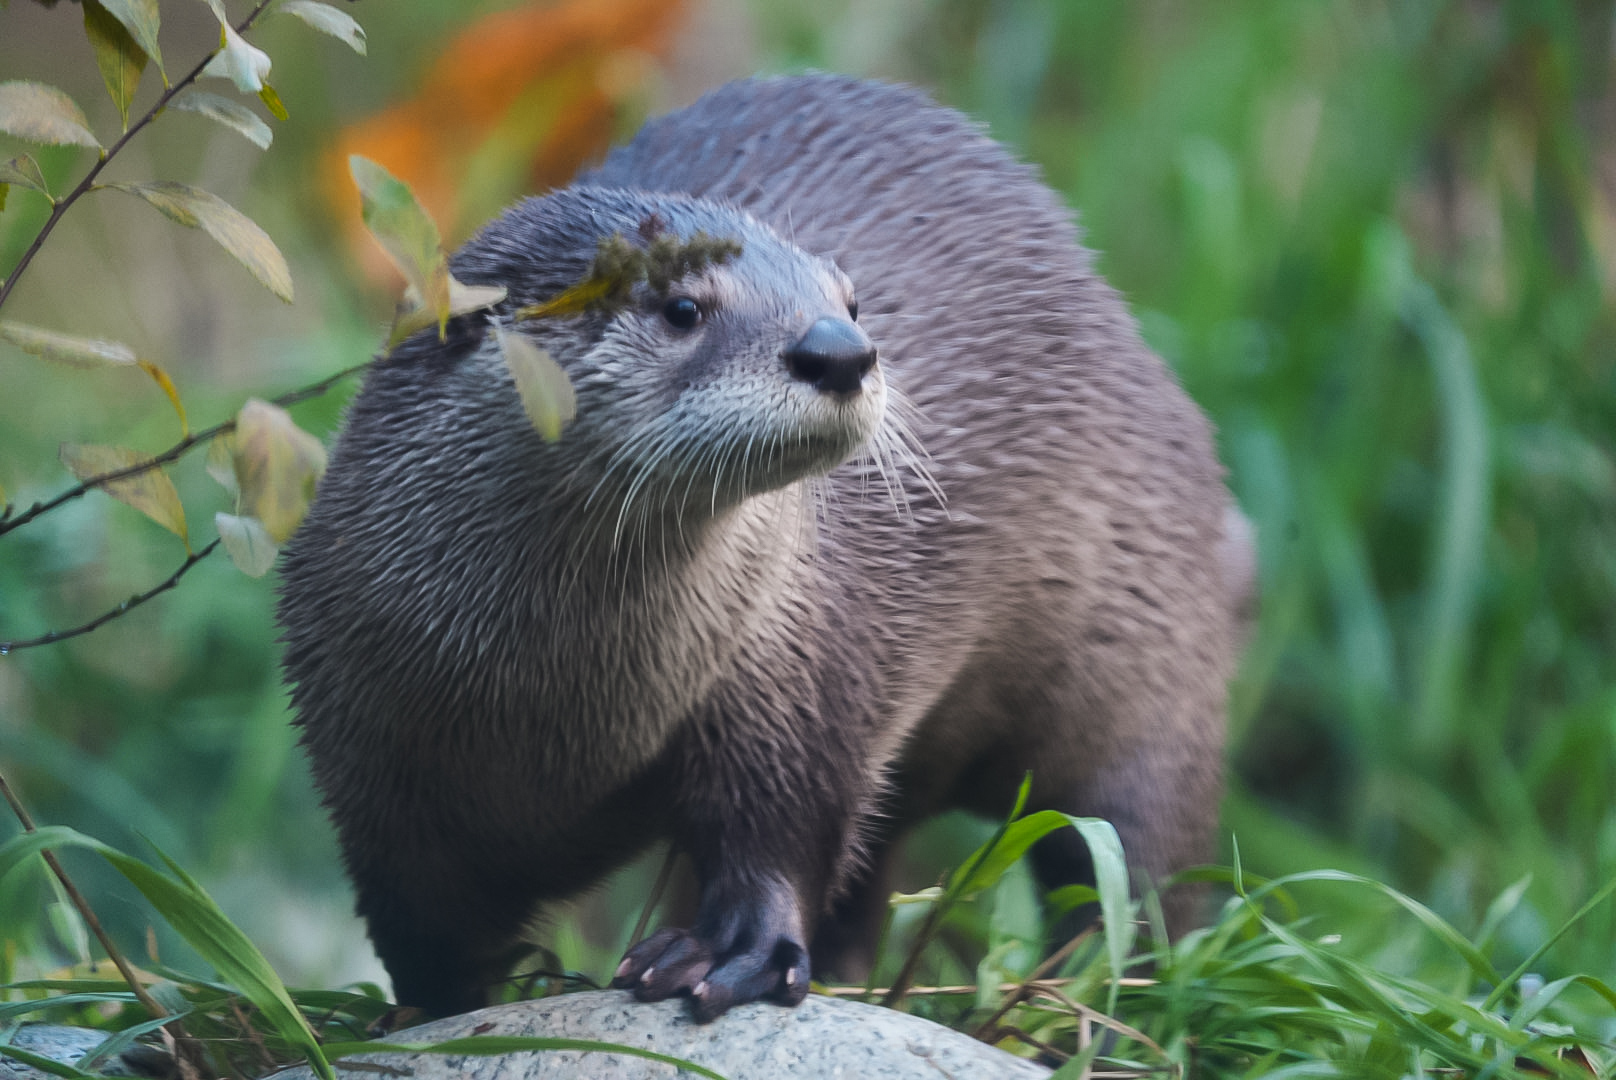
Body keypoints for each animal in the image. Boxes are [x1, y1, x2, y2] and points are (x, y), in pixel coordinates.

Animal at [278, 74, 1245, 1022]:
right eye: (681, 307)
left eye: (851, 301)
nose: (841, 351)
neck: (545, 704)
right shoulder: (364, 758)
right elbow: (420, 931)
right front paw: (426, 1015)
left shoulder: (791, 665)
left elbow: (782, 828)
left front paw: (730, 953)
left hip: (1148, 657)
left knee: (1135, 862)